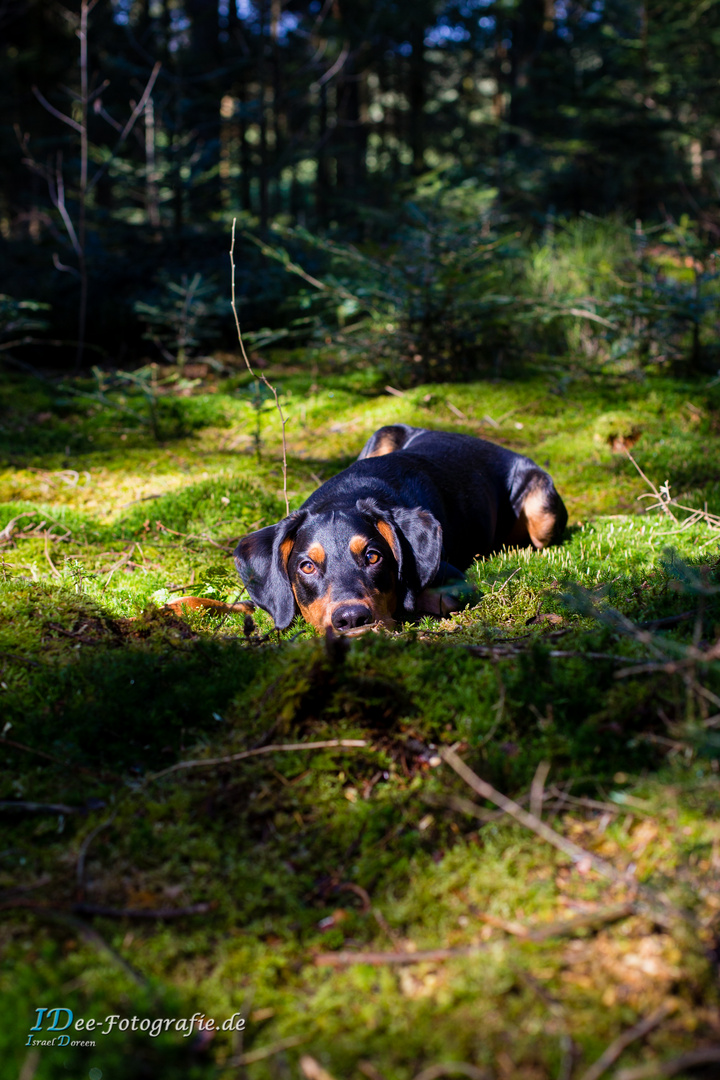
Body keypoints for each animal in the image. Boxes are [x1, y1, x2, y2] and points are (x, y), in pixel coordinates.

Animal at [234, 423, 565, 630]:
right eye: (306, 566)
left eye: (373, 556)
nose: (351, 619)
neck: (345, 493)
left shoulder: (455, 581)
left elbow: (421, 596)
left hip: (543, 510)